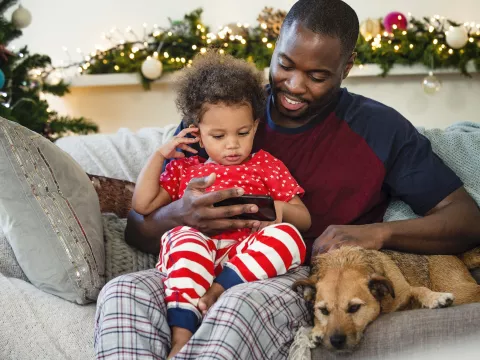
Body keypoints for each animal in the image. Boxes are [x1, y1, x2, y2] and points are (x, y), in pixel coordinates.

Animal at [292, 246, 480, 352]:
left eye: (354, 308)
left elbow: (419, 290)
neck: (344, 263)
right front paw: (316, 330)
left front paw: (436, 297)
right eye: (323, 310)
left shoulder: (406, 291)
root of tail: (456, 255)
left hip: (462, 290)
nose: (336, 341)